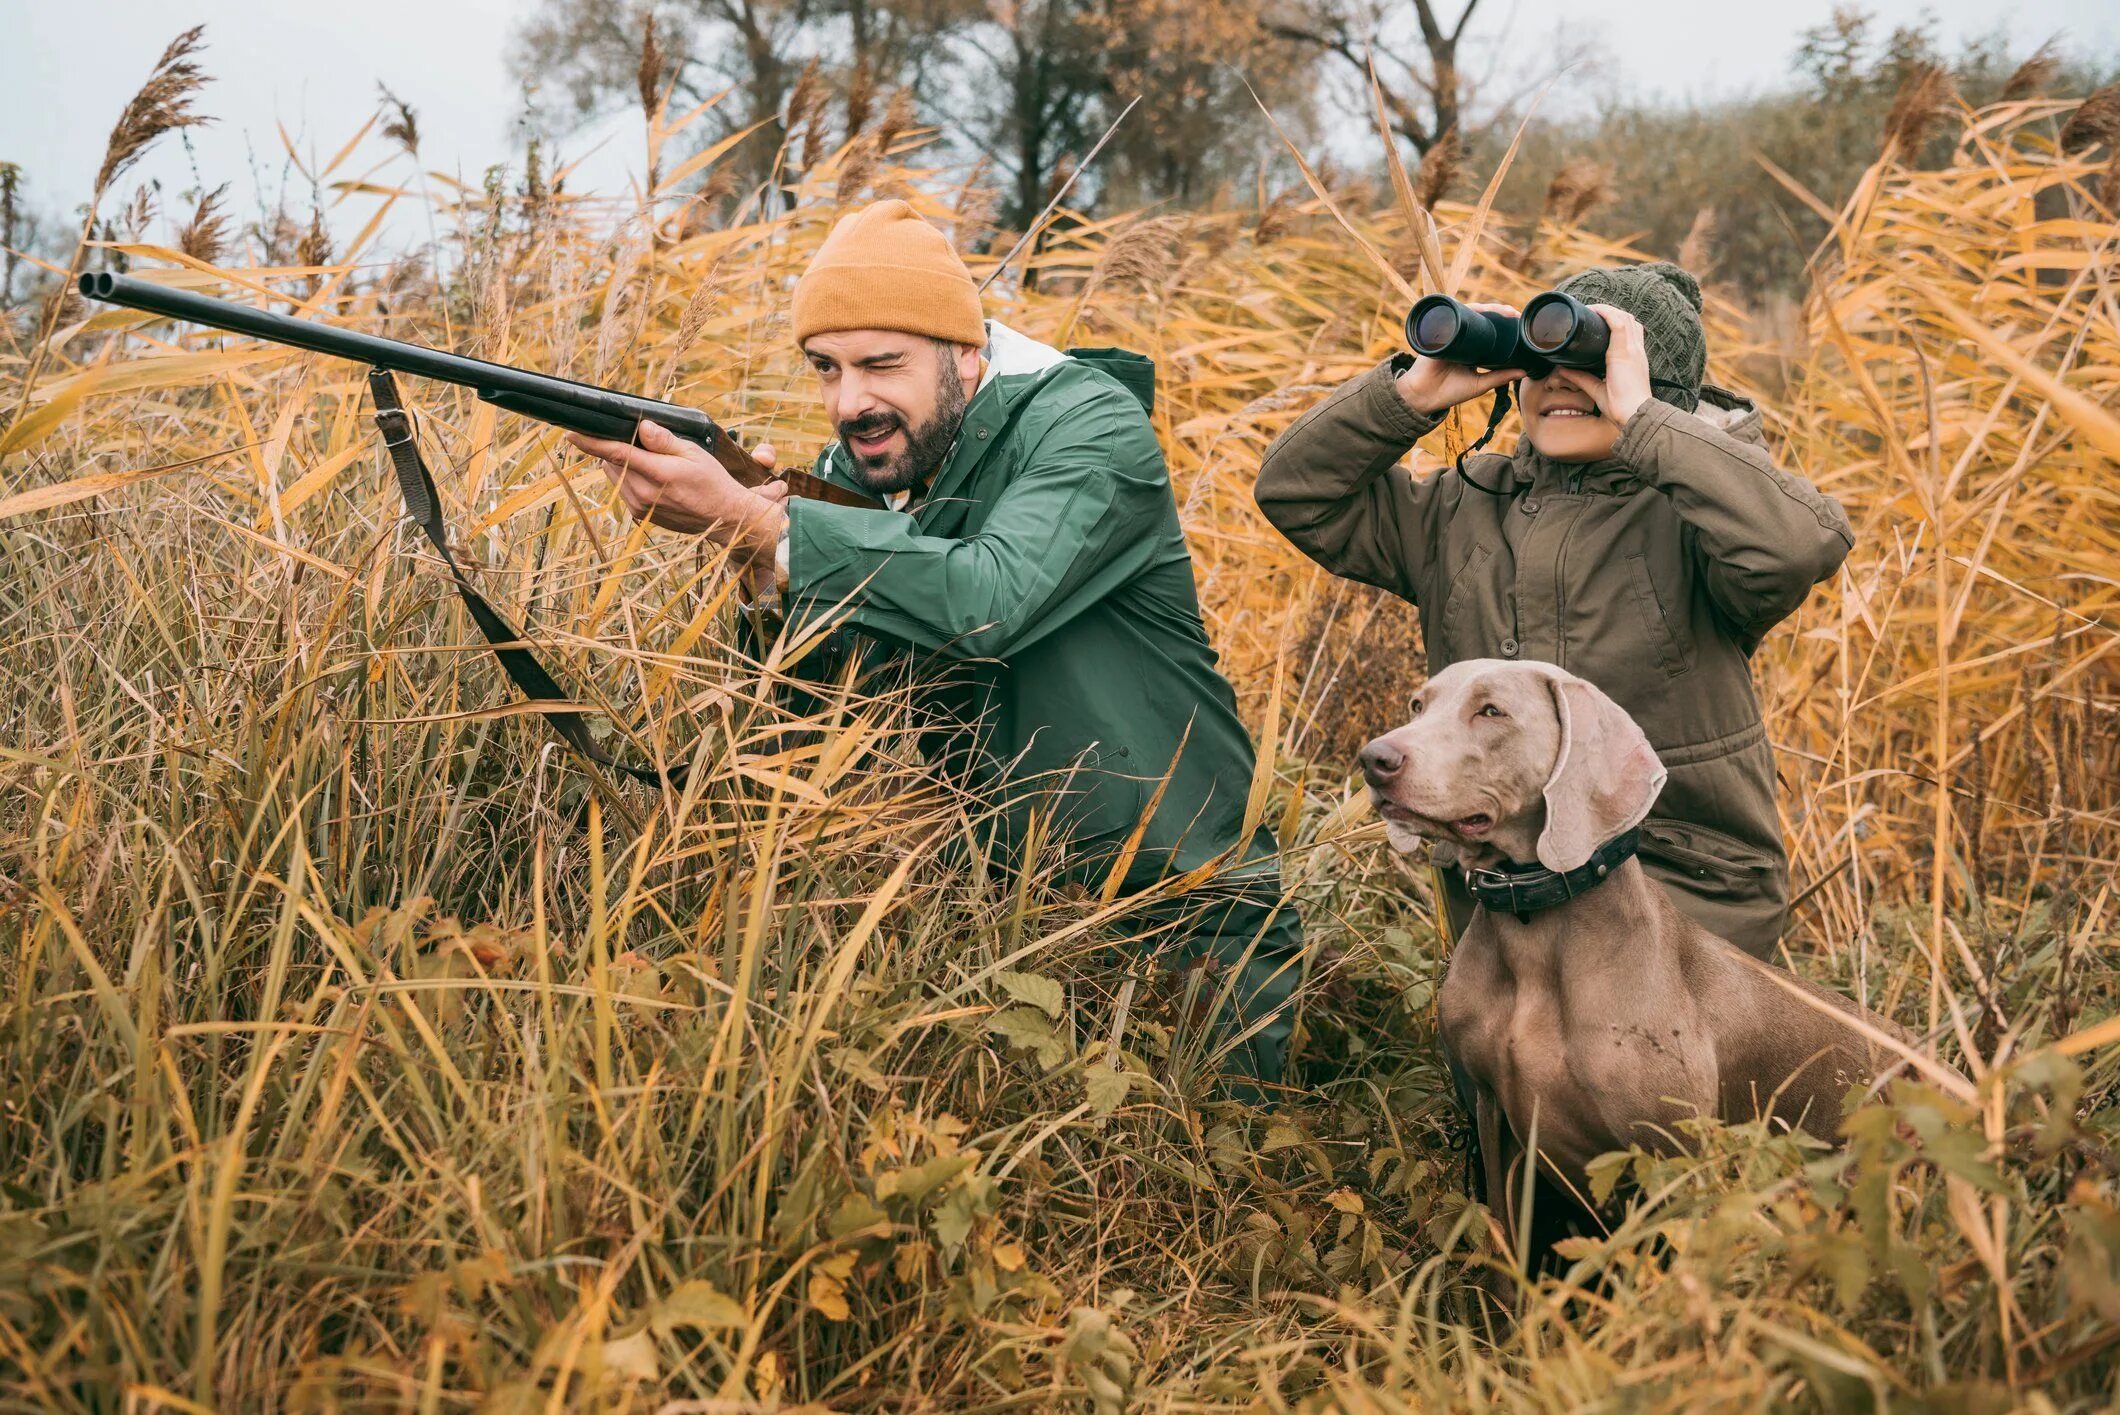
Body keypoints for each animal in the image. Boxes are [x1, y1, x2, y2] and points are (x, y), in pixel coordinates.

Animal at [1356, 657, 1941, 1264]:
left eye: (1491, 711)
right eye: (1417, 706)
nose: (1374, 759)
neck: (1532, 924)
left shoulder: (1672, 1154)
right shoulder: (1494, 1120)